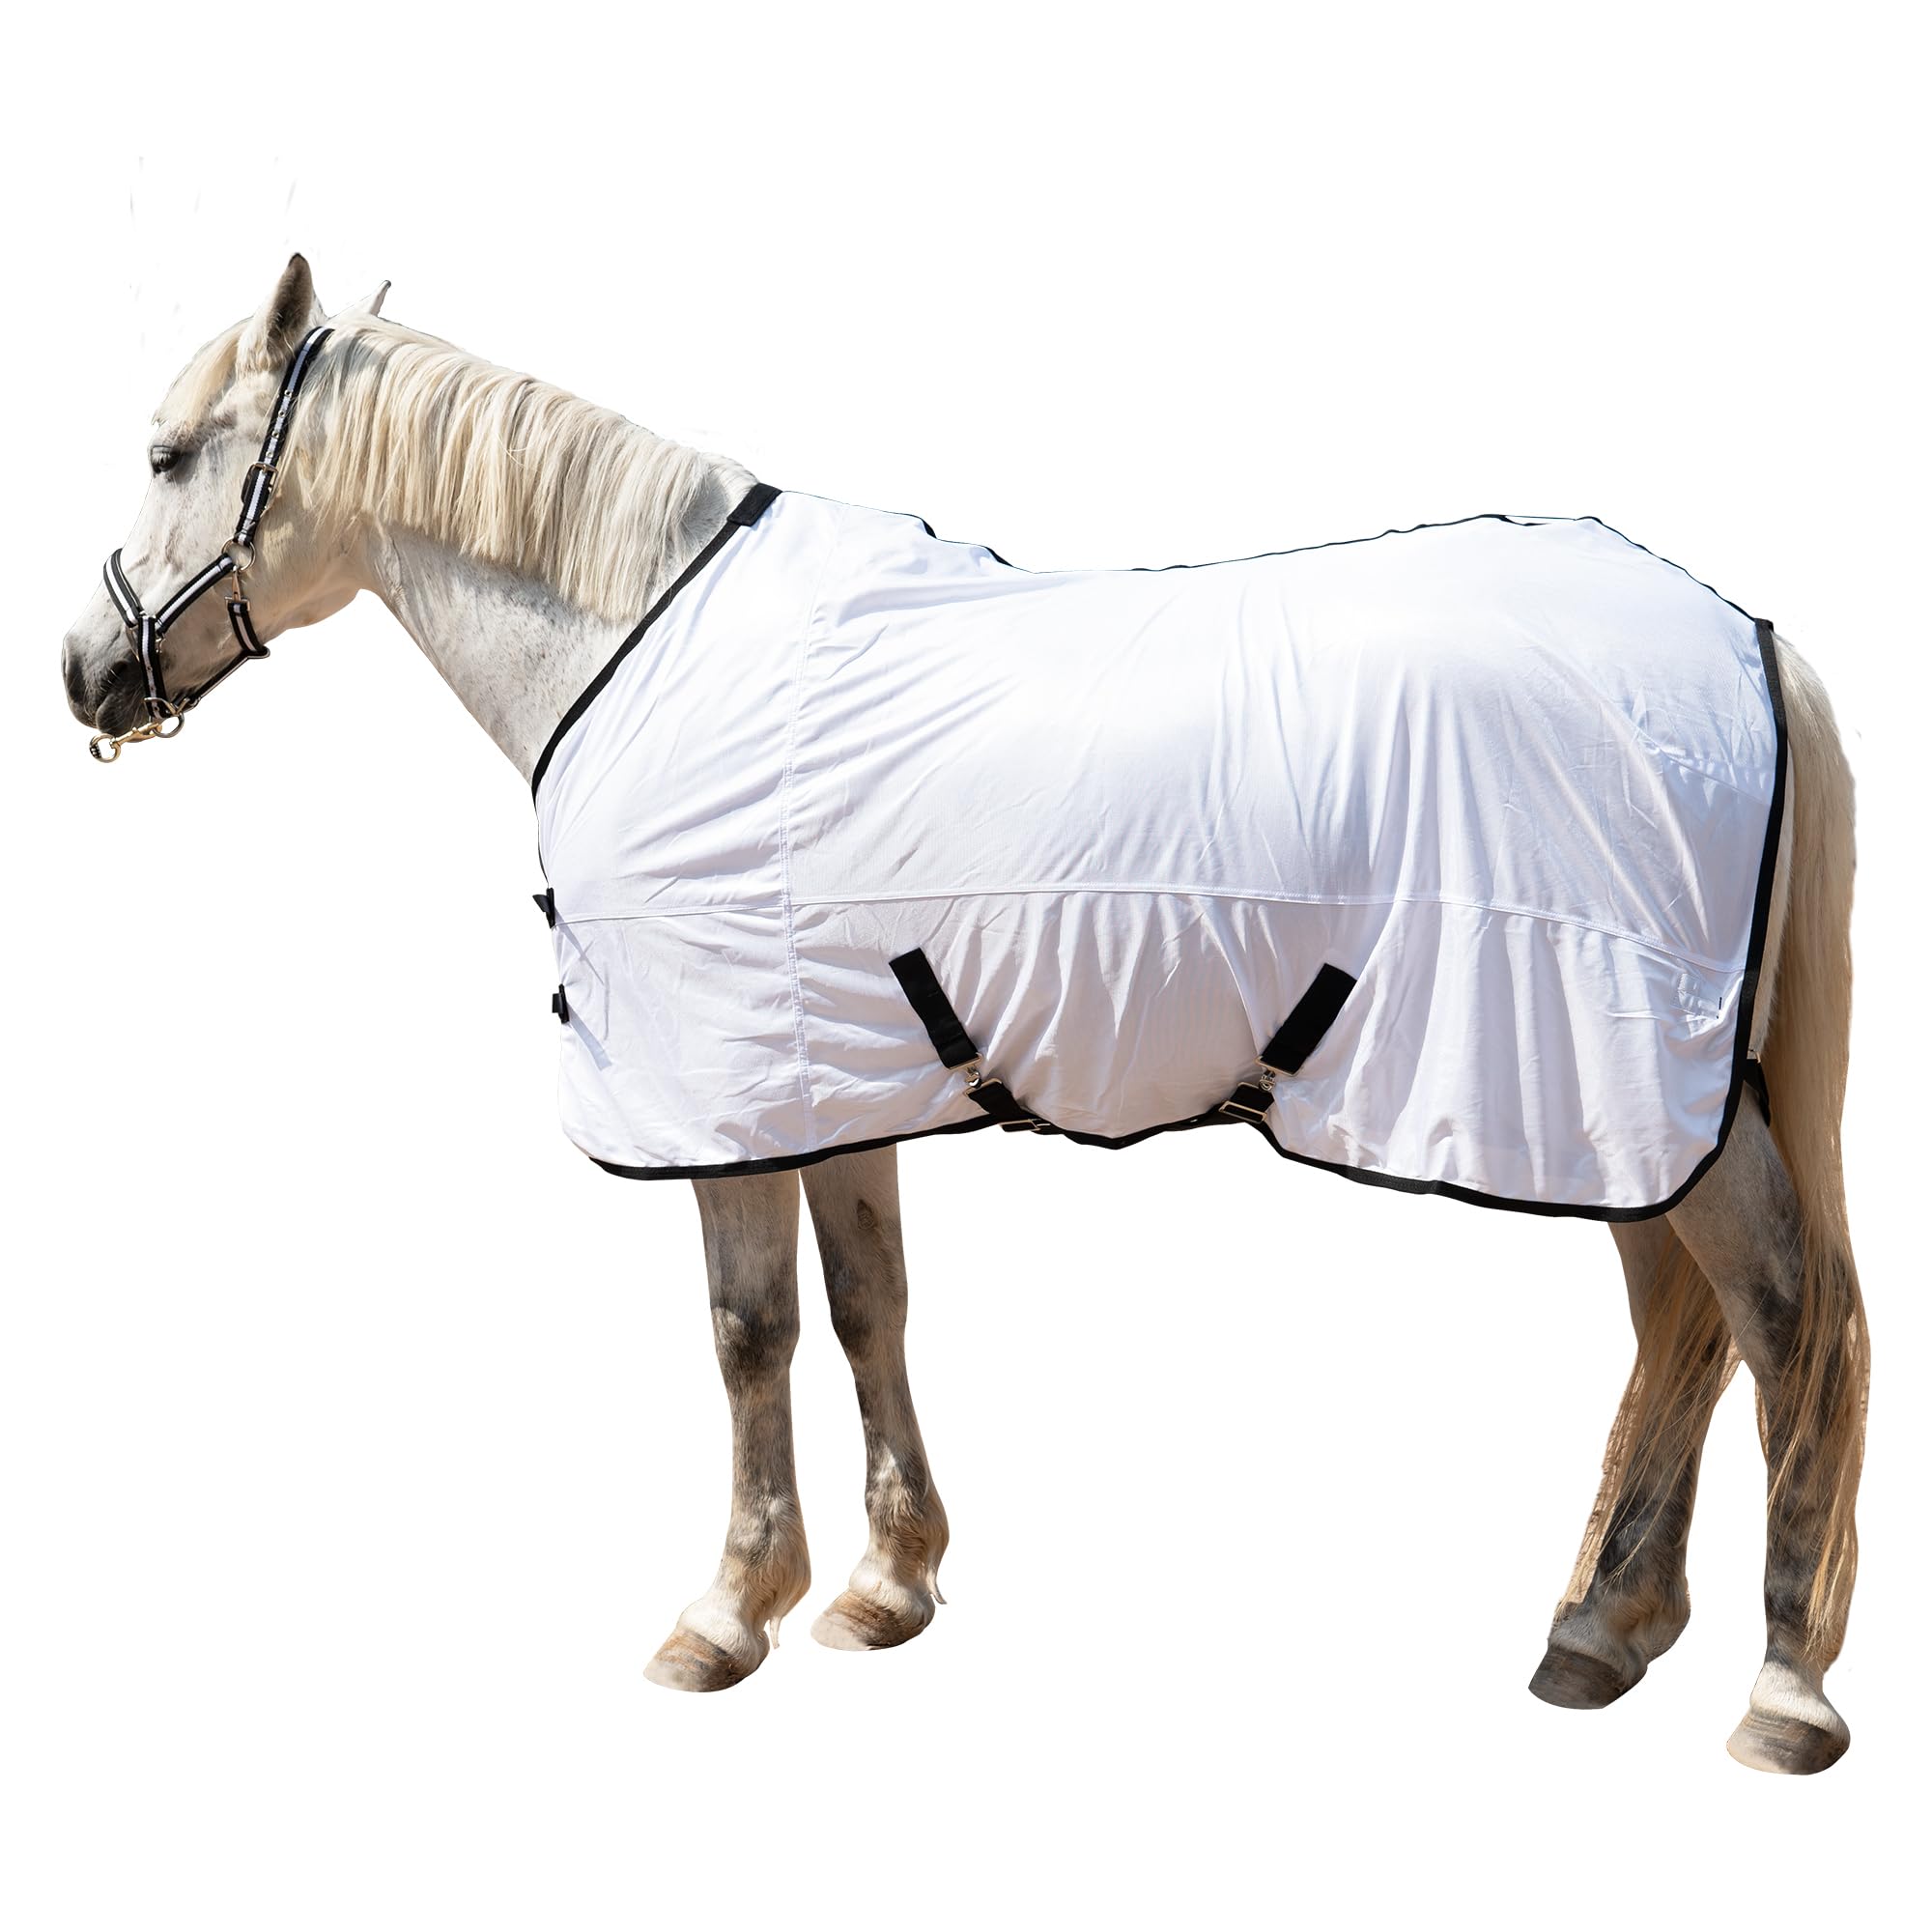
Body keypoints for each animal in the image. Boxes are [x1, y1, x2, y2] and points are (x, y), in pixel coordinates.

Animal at [60, 256, 1868, 1773]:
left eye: (166, 452)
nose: (86, 672)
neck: (636, 648)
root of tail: (1749, 637)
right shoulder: (827, 1077)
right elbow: (870, 1309)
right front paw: (884, 1586)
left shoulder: (717, 1088)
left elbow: (749, 1331)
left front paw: (726, 1614)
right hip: (1624, 1111)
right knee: (1682, 1328)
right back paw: (1600, 1632)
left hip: (1640, 1092)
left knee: (1790, 1320)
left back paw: (1781, 1693)